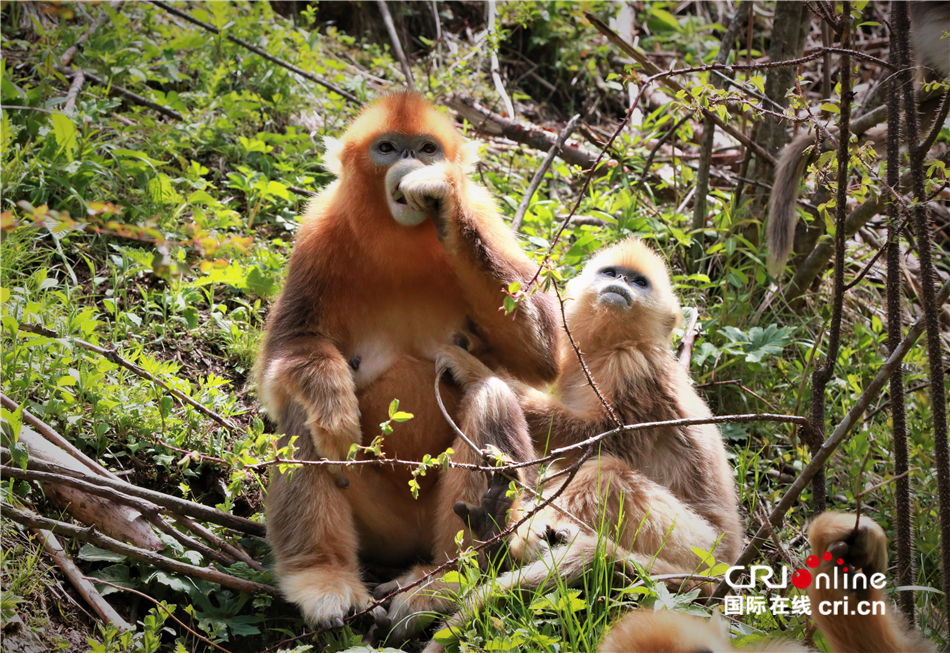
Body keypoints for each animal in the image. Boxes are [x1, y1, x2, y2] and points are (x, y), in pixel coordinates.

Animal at [256, 91, 560, 628]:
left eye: (426, 149)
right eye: (387, 147)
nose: (409, 161)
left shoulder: (484, 212)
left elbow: (543, 352)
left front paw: (441, 196)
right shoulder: (317, 231)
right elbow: (285, 356)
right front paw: (334, 404)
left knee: (493, 397)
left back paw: (448, 573)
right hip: (385, 527)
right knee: (302, 413)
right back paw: (322, 576)